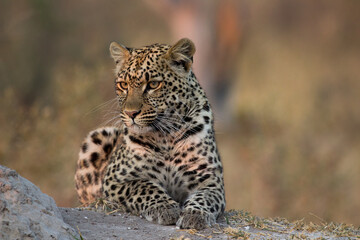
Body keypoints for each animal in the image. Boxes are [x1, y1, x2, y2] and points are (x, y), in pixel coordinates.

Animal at [74, 38, 225, 229]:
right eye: (123, 85)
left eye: (153, 84)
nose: (131, 113)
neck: (167, 136)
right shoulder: (116, 179)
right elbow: (143, 186)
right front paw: (165, 208)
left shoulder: (210, 179)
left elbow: (205, 197)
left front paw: (195, 214)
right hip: (98, 137)